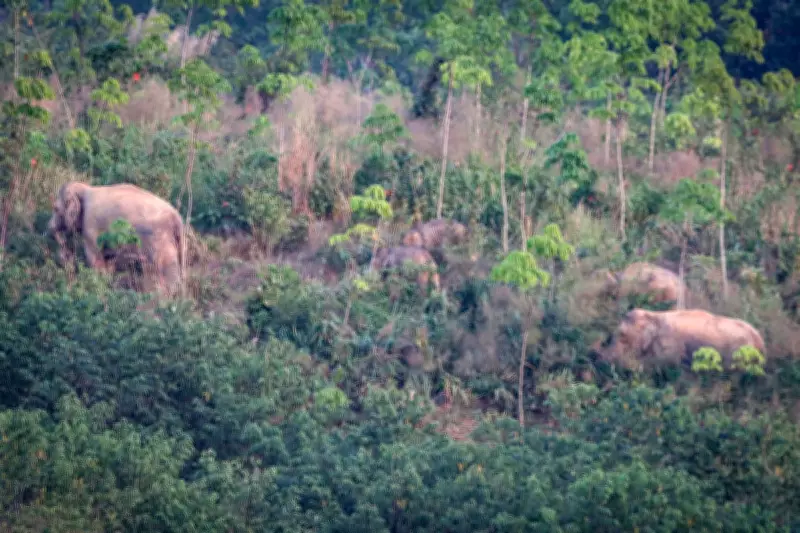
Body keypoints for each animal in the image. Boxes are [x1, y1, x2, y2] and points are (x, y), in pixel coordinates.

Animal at [48, 181, 185, 295]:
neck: (85, 188)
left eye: (55, 208)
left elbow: (95, 258)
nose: (49, 227)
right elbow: (109, 260)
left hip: (158, 241)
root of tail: (176, 218)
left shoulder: (90, 225)